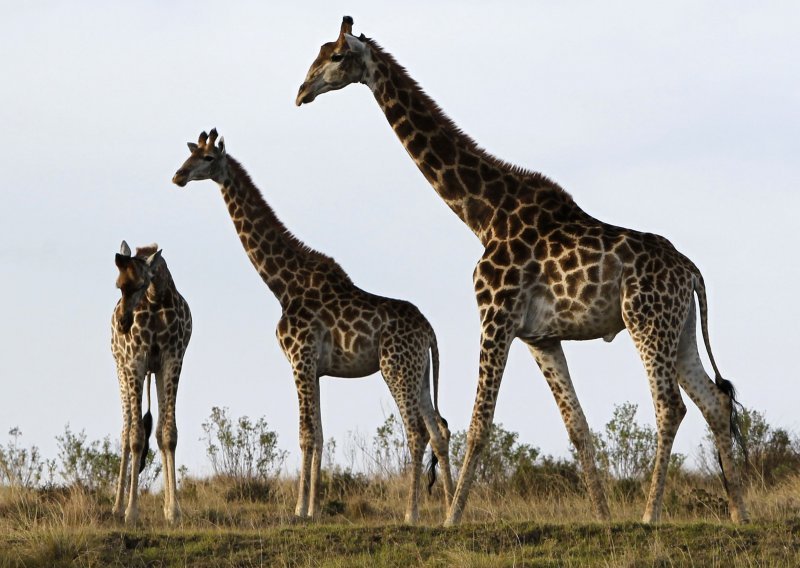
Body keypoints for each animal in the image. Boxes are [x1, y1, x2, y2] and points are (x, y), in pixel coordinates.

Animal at [111, 239, 191, 524]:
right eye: (119, 285)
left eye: (139, 285)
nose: (123, 323)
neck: (157, 299)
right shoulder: (136, 362)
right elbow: (136, 436)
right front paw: (131, 512)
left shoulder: (172, 360)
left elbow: (168, 435)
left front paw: (174, 511)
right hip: (121, 369)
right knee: (125, 433)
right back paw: (117, 507)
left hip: (153, 372)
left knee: (153, 432)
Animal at [171, 129, 454, 524]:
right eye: (190, 154)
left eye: (208, 158)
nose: (178, 175)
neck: (282, 285)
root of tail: (430, 332)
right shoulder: (316, 368)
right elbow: (318, 434)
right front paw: (312, 508)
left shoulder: (300, 358)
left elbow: (306, 433)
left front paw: (300, 510)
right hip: (421, 372)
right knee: (438, 429)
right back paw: (449, 511)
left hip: (395, 367)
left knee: (416, 430)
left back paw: (411, 515)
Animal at [296, 15, 752, 524]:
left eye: (336, 56)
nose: (302, 91)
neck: (483, 214)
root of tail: (692, 272)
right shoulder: (541, 337)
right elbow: (578, 428)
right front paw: (603, 519)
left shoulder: (496, 316)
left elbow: (479, 423)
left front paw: (451, 520)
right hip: (682, 329)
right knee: (714, 402)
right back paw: (739, 514)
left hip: (646, 321)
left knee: (671, 406)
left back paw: (650, 516)